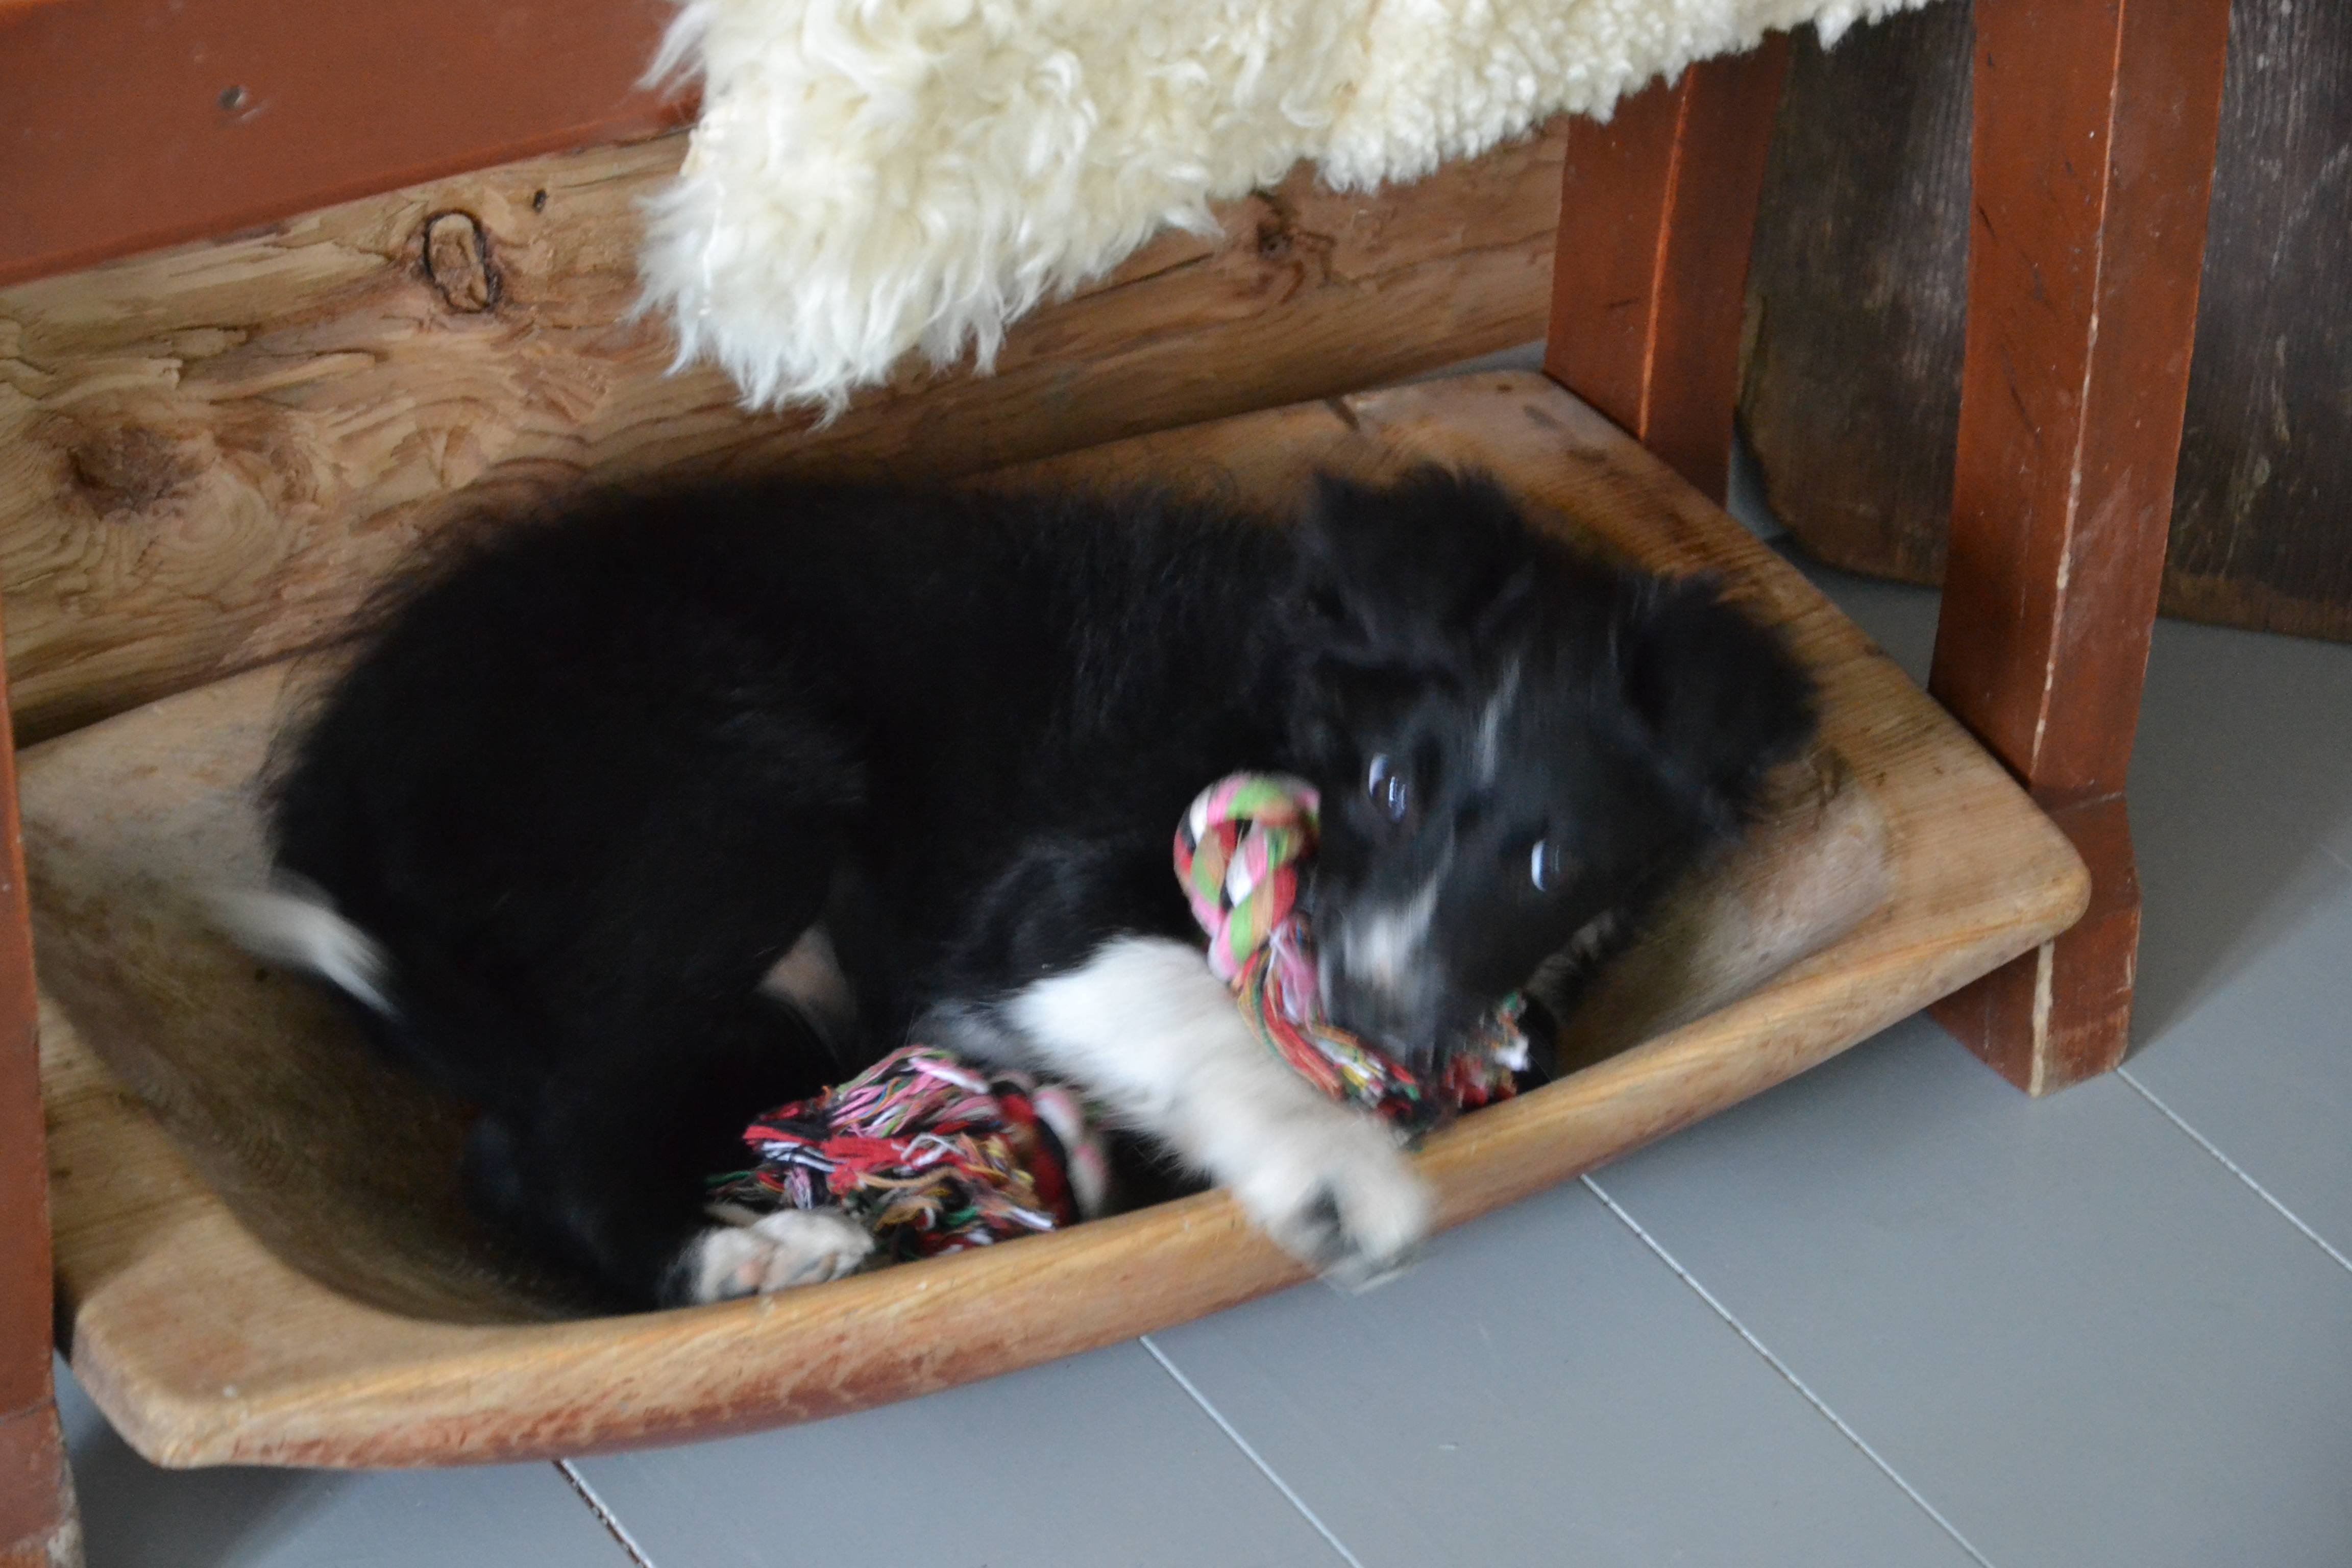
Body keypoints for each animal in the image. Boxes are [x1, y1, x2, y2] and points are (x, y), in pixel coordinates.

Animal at [232, 467, 1814, 1310]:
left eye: (1549, 861)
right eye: (1385, 789)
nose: (1370, 1013)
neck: (1290, 690)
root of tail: (331, 796)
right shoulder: (1044, 905)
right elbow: (1199, 1013)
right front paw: (1329, 1168)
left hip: (781, 980)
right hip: (735, 795)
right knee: (537, 1146)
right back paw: (753, 1257)